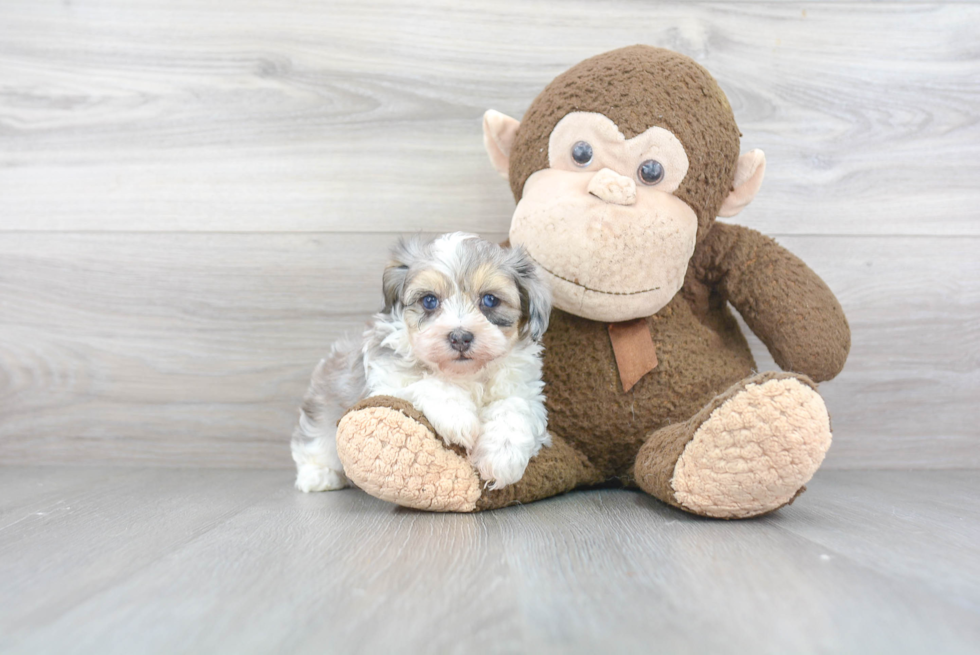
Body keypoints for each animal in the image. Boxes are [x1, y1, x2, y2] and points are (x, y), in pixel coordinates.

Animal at [290, 233, 552, 494]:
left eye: (490, 300)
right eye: (429, 301)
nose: (460, 337)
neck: (464, 374)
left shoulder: (524, 388)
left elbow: (514, 407)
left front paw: (502, 455)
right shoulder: (385, 380)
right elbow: (424, 382)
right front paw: (457, 415)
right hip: (322, 413)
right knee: (312, 443)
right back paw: (318, 475)